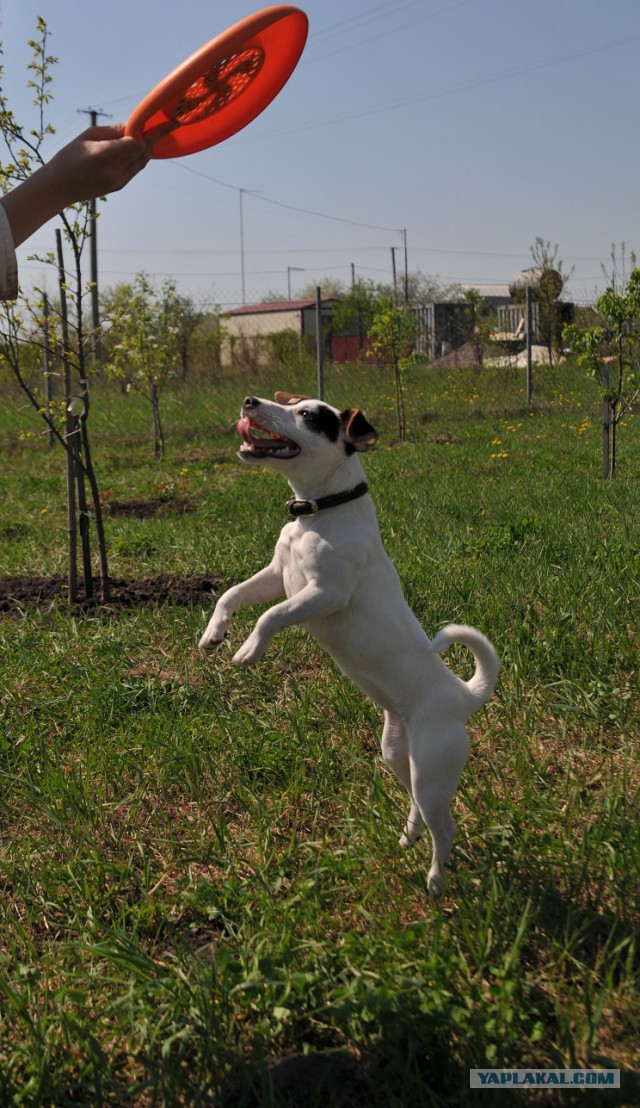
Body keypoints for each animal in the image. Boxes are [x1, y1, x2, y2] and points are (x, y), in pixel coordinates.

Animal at [199, 394, 498, 895]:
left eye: (306, 415)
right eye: (288, 399)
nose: (250, 400)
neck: (318, 514)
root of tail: (462, 696)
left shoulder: (324, 594)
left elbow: (269, 615)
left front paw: (250, 650)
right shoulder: (277, 575)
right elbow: (233, 595)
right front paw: (214, 633)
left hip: (433, 769)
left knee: (446, 826)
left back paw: (435, 878)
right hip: (398, 754)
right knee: (418, 806)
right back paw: (409, 835)